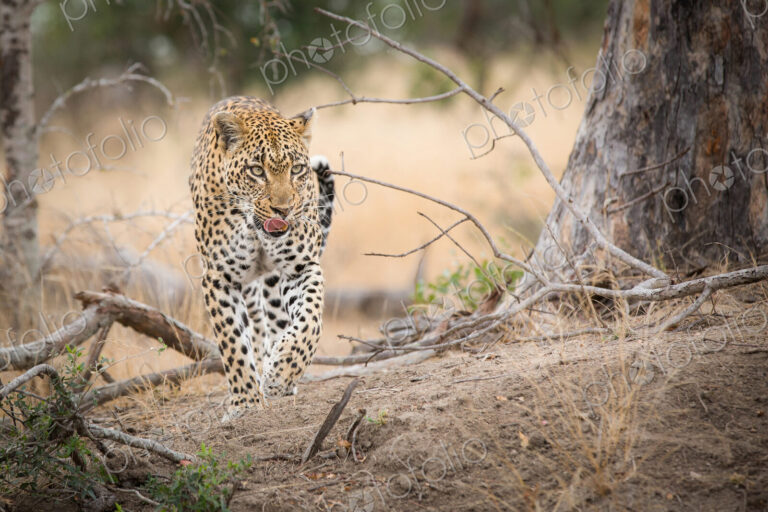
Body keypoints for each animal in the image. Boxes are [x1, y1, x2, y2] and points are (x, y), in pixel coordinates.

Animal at [189, 96, 334, 421]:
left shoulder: (301, 267)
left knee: (278, 321)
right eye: (256, 170)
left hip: (273, 285)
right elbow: (232, 341)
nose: (283, 209)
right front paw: (245, 402)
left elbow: (310, 321)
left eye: (297, 169)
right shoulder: (218, 278)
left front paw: (281, 372)